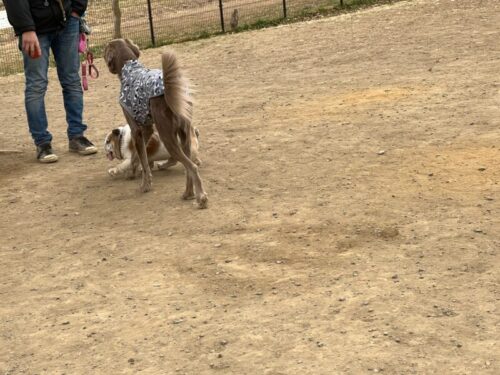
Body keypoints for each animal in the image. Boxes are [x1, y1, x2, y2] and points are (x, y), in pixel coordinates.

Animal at [103, 39, 207, 210]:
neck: (129, 67)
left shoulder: (136, 129)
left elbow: (142, 161)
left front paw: (144, 186)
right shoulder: (147, 129)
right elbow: (138, 158)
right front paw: (133, 173)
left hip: (168, 136)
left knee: (192, 166)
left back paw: (202, 199)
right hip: (184, 136)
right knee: (188, 167)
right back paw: (188, 194)